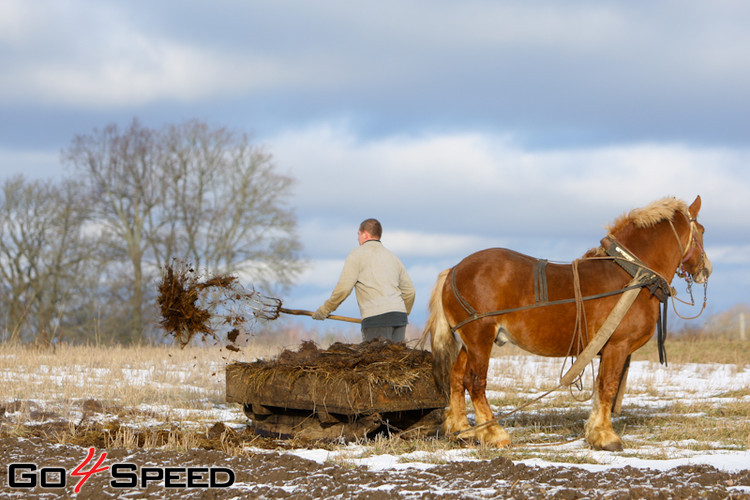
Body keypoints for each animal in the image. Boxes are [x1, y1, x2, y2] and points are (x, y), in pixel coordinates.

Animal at [424, 195, 712, 450]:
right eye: (702, 231)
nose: (706, 269)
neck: (631, 275)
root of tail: (454, 270)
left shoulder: (606, 348)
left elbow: (600, 388)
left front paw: (594, 432)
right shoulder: (617, 346)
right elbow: (608, 387)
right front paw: (606, 437)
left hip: (469, 341)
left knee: (456, 377)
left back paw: (461, 430)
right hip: (480, 337)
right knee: (475, 382)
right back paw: (494, 433)